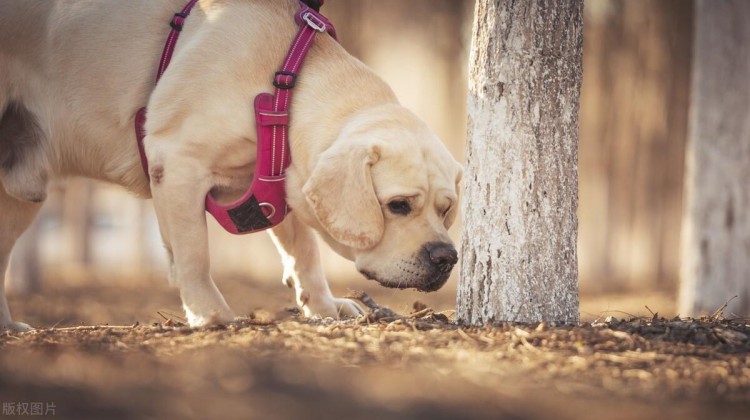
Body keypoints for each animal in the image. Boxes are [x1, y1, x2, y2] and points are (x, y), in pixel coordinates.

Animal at [0, 0, 464, 330]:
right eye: (398, 205)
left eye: (445, 210)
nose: (447, 257)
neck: (283, 88)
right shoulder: (177, 161)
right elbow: (194, 254)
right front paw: (210, 314)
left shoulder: (280, 180)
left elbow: (305, 254)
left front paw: (322, 306)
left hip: (20, 195)